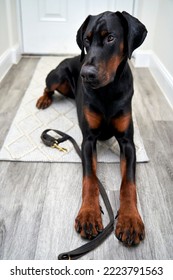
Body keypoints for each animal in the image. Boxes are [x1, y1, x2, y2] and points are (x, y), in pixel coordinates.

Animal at [36, 10, 147, 246]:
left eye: (111, 38)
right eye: (86, 40)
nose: (86, 74)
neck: (107, 90)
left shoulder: (127, 142)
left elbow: (129, 183)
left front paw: (130, 220)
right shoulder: (88, 140)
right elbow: (89, 178)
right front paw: (88, 215)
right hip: (57, 76)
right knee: (48, 86)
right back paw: (43, 100)